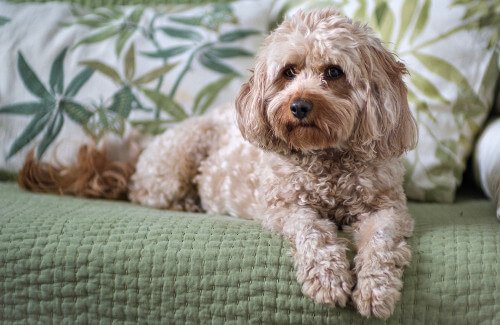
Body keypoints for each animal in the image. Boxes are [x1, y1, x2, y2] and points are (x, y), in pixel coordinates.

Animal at [18, 8, 418, 318]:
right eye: (288, 72)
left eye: (334, 72)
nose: (300, 106)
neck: (327, 159)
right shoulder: (284, 206)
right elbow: (314, 233)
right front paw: (329, 279)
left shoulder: (388, 208)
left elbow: (380, 243)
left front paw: (375, 291)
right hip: (177, 159)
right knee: (143, 192)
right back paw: (187, 203)